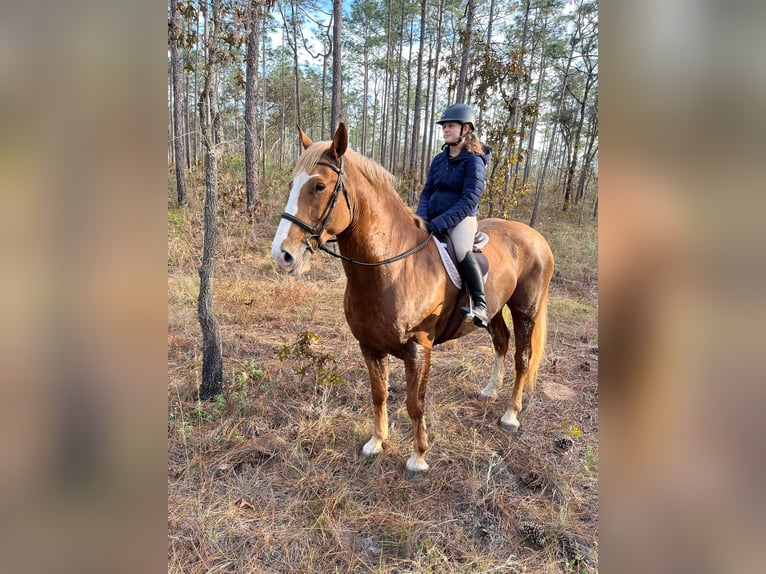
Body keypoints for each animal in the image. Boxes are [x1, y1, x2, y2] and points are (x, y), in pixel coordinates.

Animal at [272, 124, 556, 480]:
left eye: (319, 186)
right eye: (290, 185)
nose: (282, 255)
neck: (392, 268)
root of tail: (535, 237)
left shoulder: (419, 347)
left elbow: (414, 403)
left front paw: (418, 457)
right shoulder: (370, 346)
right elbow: (379, 394)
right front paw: (376, 442)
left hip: (525, 309)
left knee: (523, 357)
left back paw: (510, 414)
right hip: (494, 309)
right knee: (501, 341)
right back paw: (491, 390)